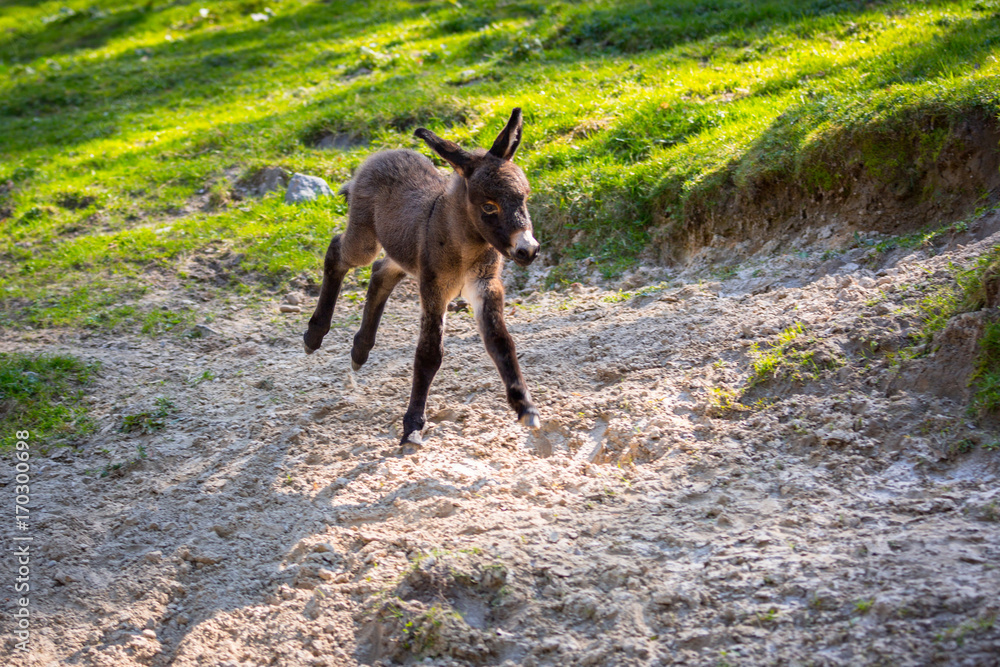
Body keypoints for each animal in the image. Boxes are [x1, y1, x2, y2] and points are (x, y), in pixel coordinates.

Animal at [302, 107, 540, 446]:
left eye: (525, 197)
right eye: (488, 207)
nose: (528, 250)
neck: (466, 245)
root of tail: (383, 153)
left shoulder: (485, 286)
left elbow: (500, 342)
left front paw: (525, 406)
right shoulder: (434, 288)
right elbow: (429, 354)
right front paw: (413, 423)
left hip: (404, 253)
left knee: (381, 273)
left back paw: (360, 350)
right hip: (364, 238)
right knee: (338, 252)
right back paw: (314, 335)